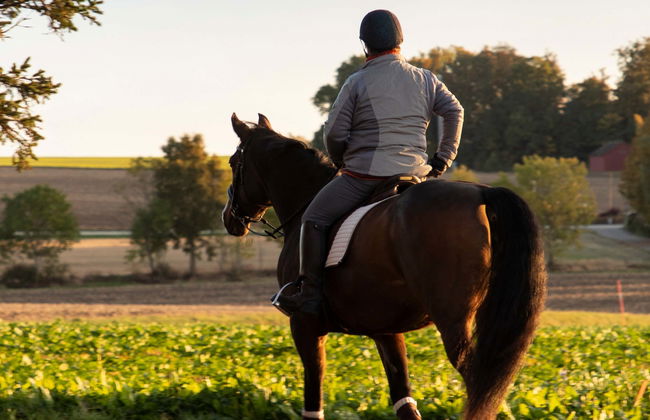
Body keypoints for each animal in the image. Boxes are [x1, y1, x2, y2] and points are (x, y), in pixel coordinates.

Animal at [222, 113, 547, 420]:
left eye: (233, 162)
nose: (229, 217)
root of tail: (481, 193)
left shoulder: (304, 326)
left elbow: (313, 403)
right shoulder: (386, 332)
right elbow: (405, 403)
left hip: (454, 324)